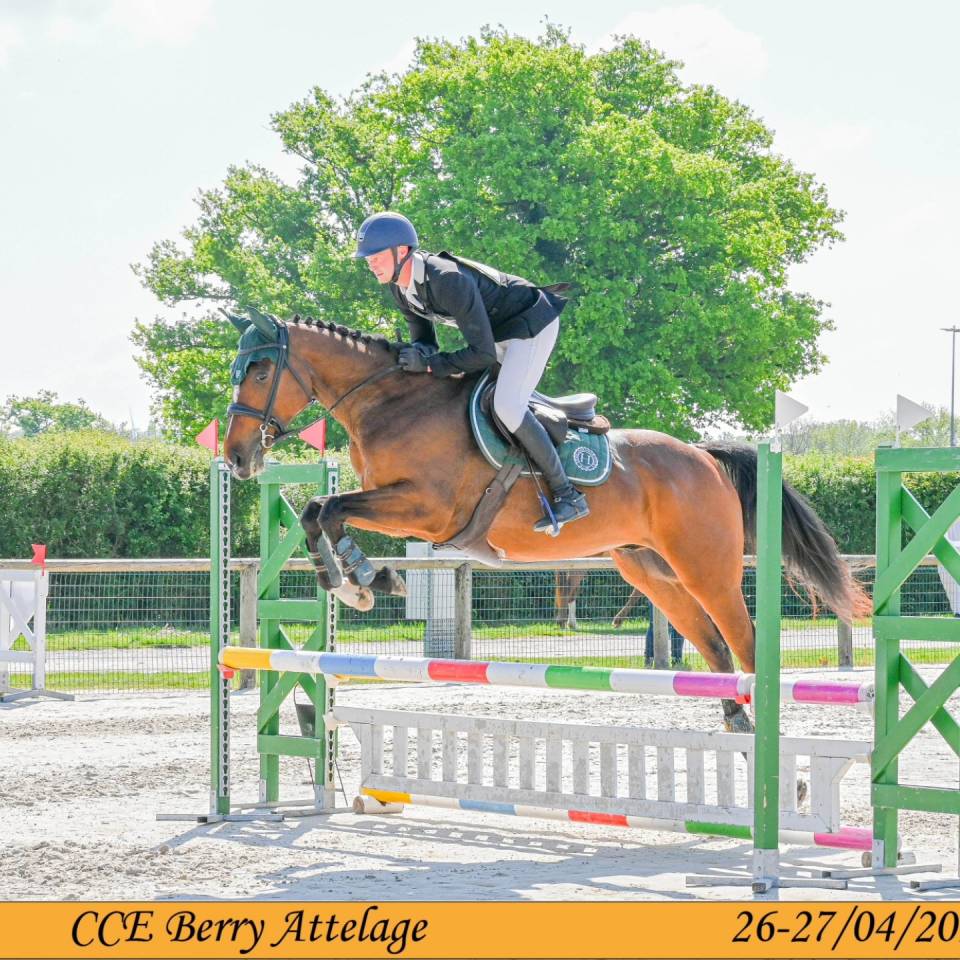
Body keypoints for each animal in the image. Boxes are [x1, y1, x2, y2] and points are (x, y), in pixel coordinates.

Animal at [223, 310, 871, 733]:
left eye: (260, 372)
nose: (235, 457)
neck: (392, 402)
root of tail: (705, 456)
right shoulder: (407, 510)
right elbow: (319, 510)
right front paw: (355, 581)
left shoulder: (427, 509)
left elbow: (330, 508)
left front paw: (360, 581)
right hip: (652, 572)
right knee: (712, 644)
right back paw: (737, 725)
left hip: (705, 569)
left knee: (746, 642)